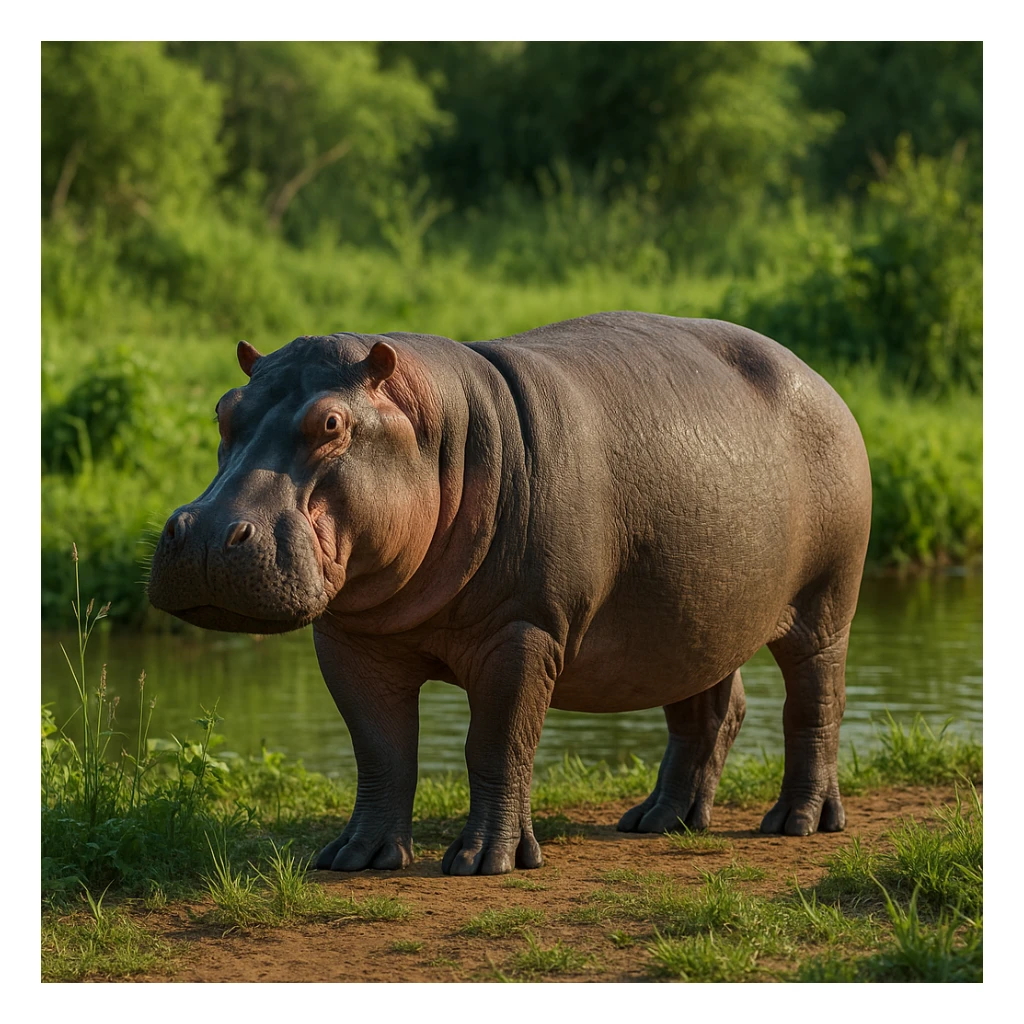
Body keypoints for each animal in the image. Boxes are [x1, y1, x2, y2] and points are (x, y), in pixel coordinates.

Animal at [148, 312, 871, 875]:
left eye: (330, 423)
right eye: (224, 410)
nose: (206, 534)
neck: (437, 431)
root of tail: (821, 379)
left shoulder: (524, 632)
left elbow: (498, 743)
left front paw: (483, 862)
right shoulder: (350, 640)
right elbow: (381, 750)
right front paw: (355, 856)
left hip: (824, 604)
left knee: (815, 703)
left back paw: (798, 821)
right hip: (695, 618)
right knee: (711, 710)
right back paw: (658, 820)